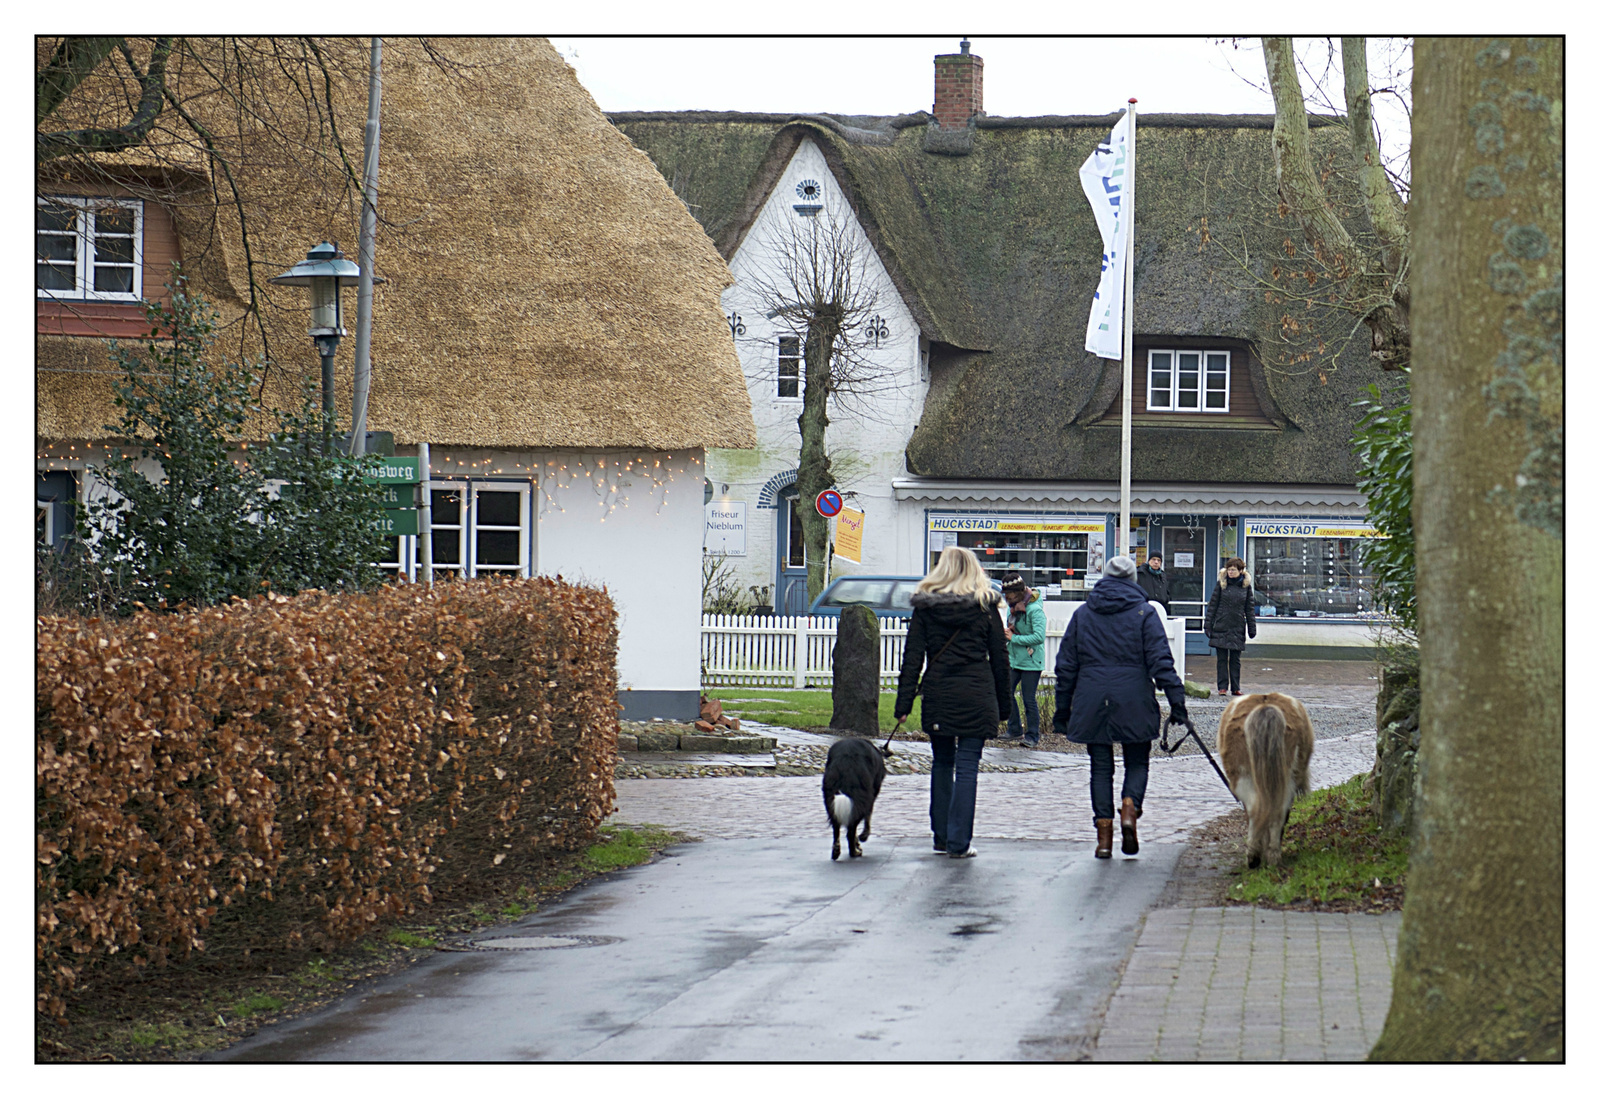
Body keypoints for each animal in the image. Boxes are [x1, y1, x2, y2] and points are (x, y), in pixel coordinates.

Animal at [1216, 697, 1318, 870]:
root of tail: (1266, 706)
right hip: (1286, 780)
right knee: (1278, 812)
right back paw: (1273, 856)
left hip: (1245, 777)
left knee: (1255, 810)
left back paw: (1254, 857)